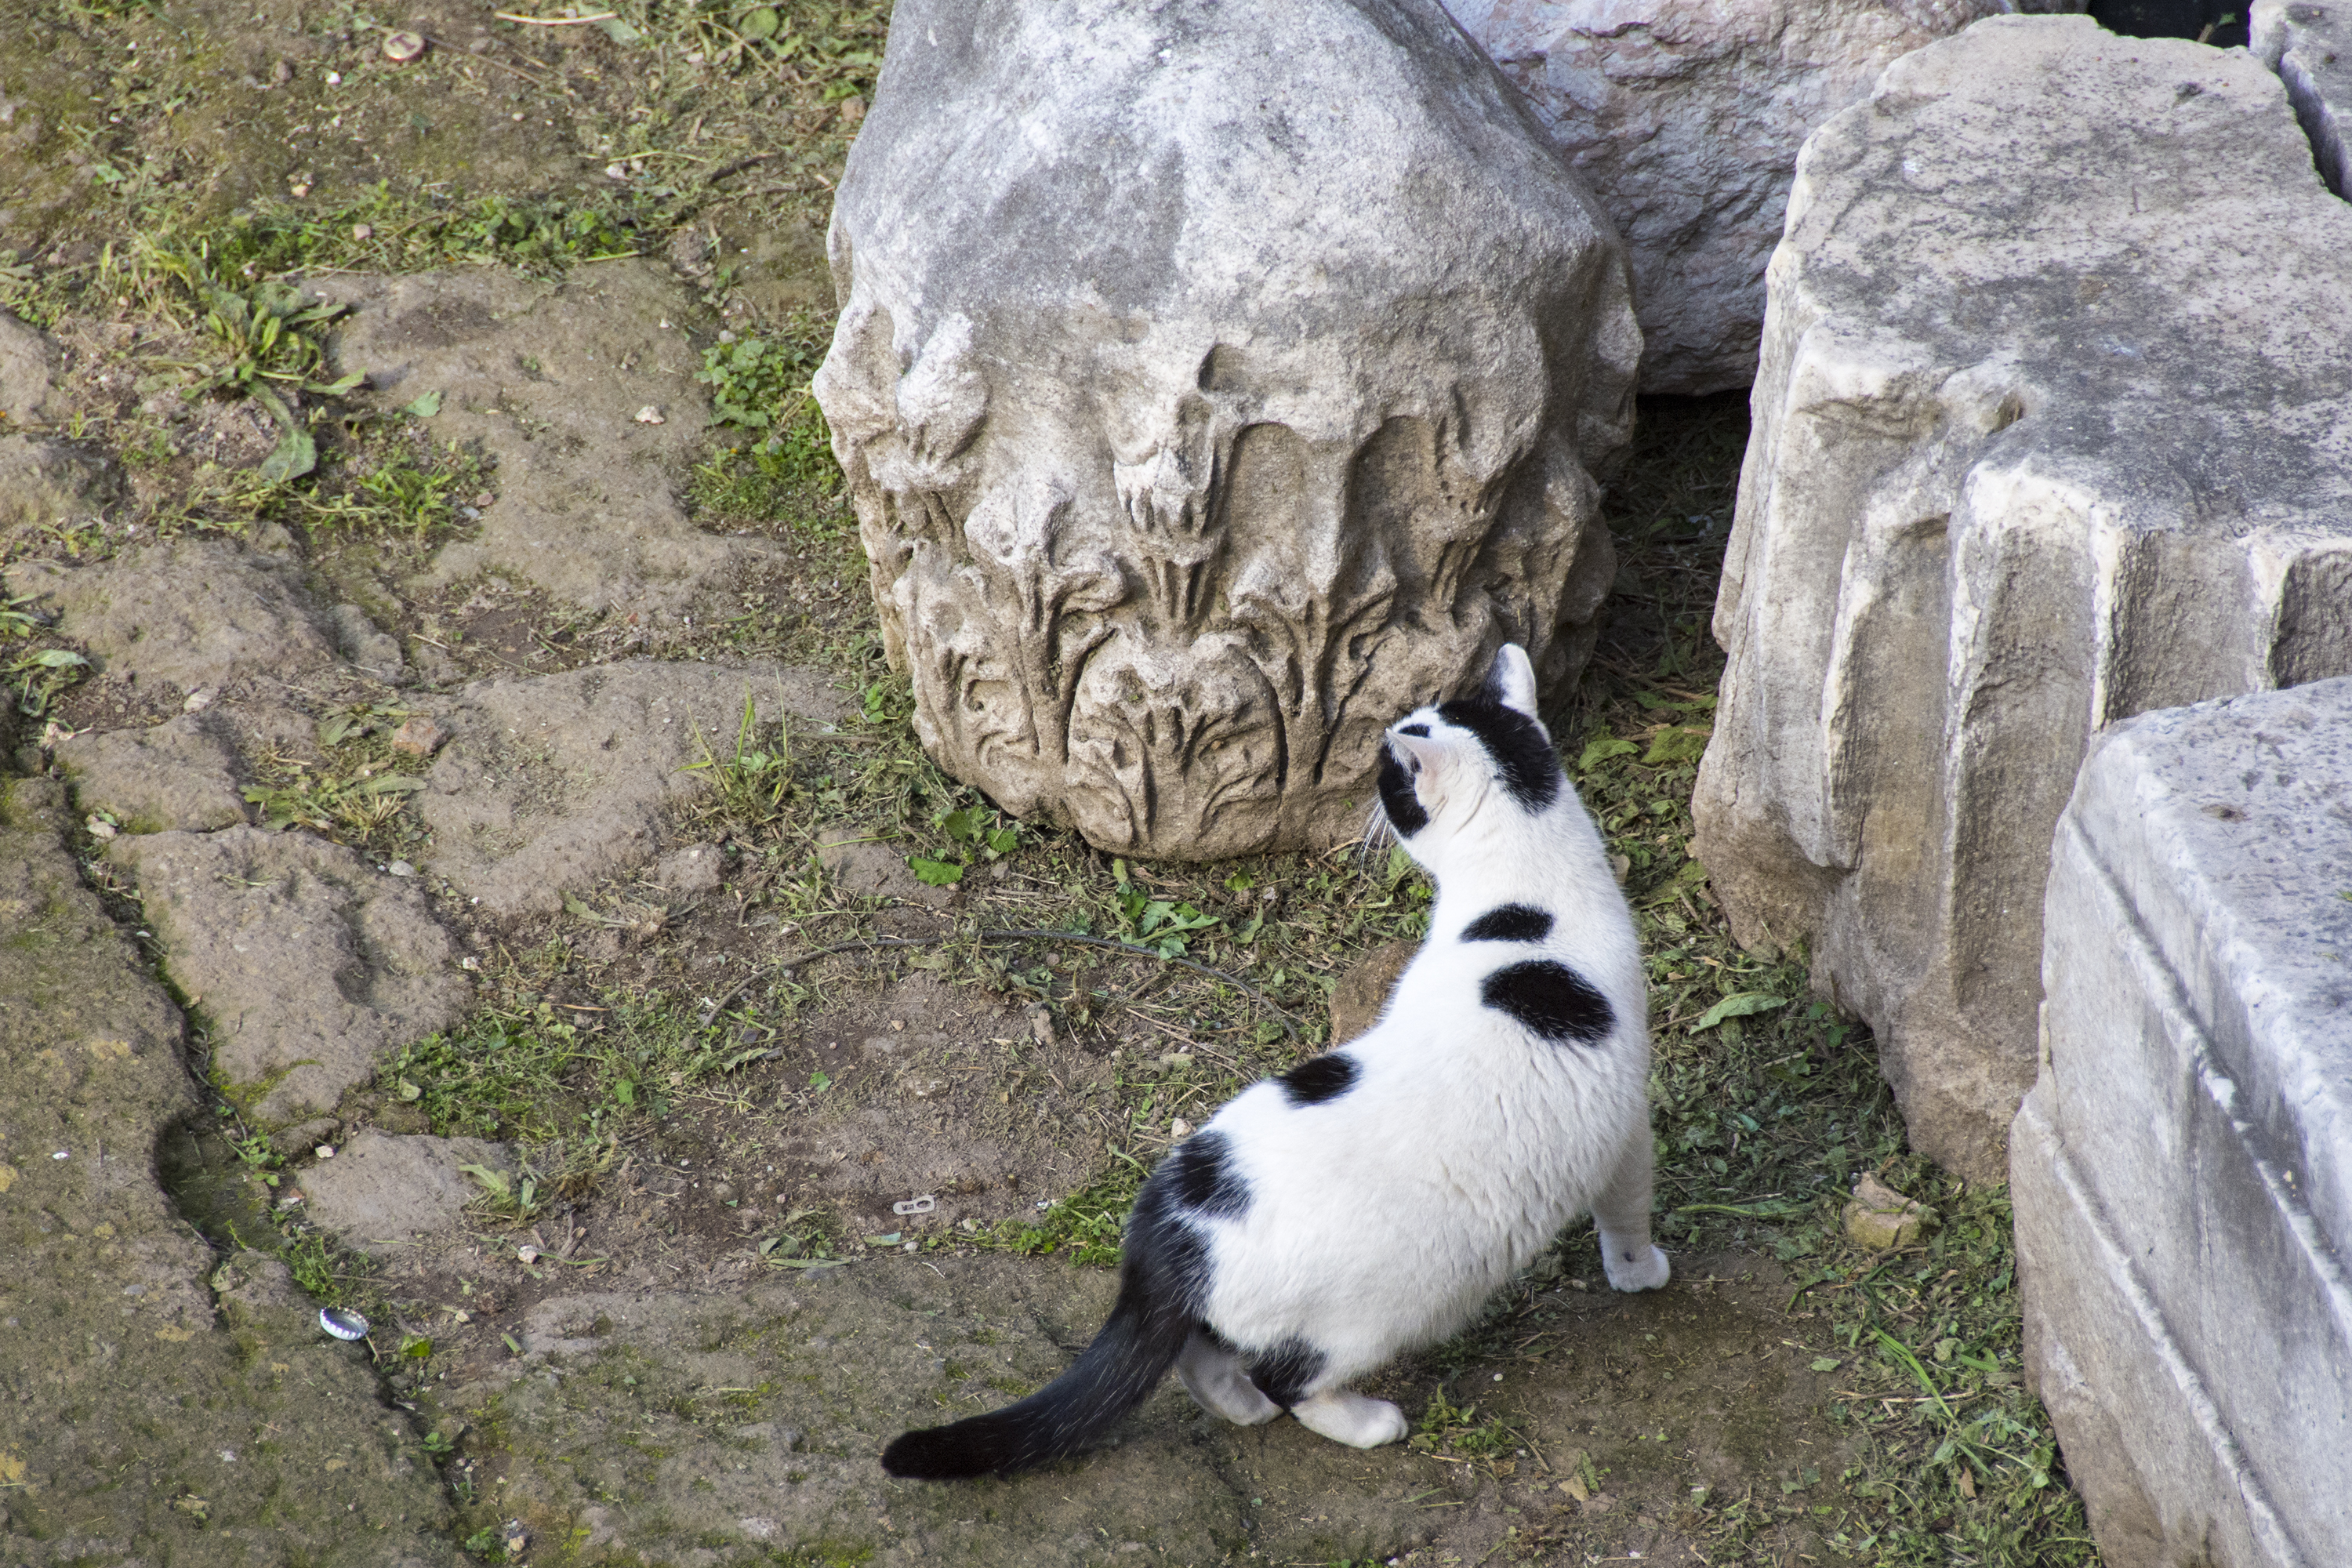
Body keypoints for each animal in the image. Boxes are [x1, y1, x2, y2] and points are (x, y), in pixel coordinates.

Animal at [884, 644, 1675, 1476]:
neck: (1529, 897)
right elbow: (1628, 1214)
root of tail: (1171, 1222)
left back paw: (1241, 1410)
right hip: (1363, 1320)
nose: (1367, 781)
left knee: (1201, 1359)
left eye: (1388, 775)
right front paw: (1639, 1274)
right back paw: (1367, 1421)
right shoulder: (1626, 1126)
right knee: (1289, 1379)